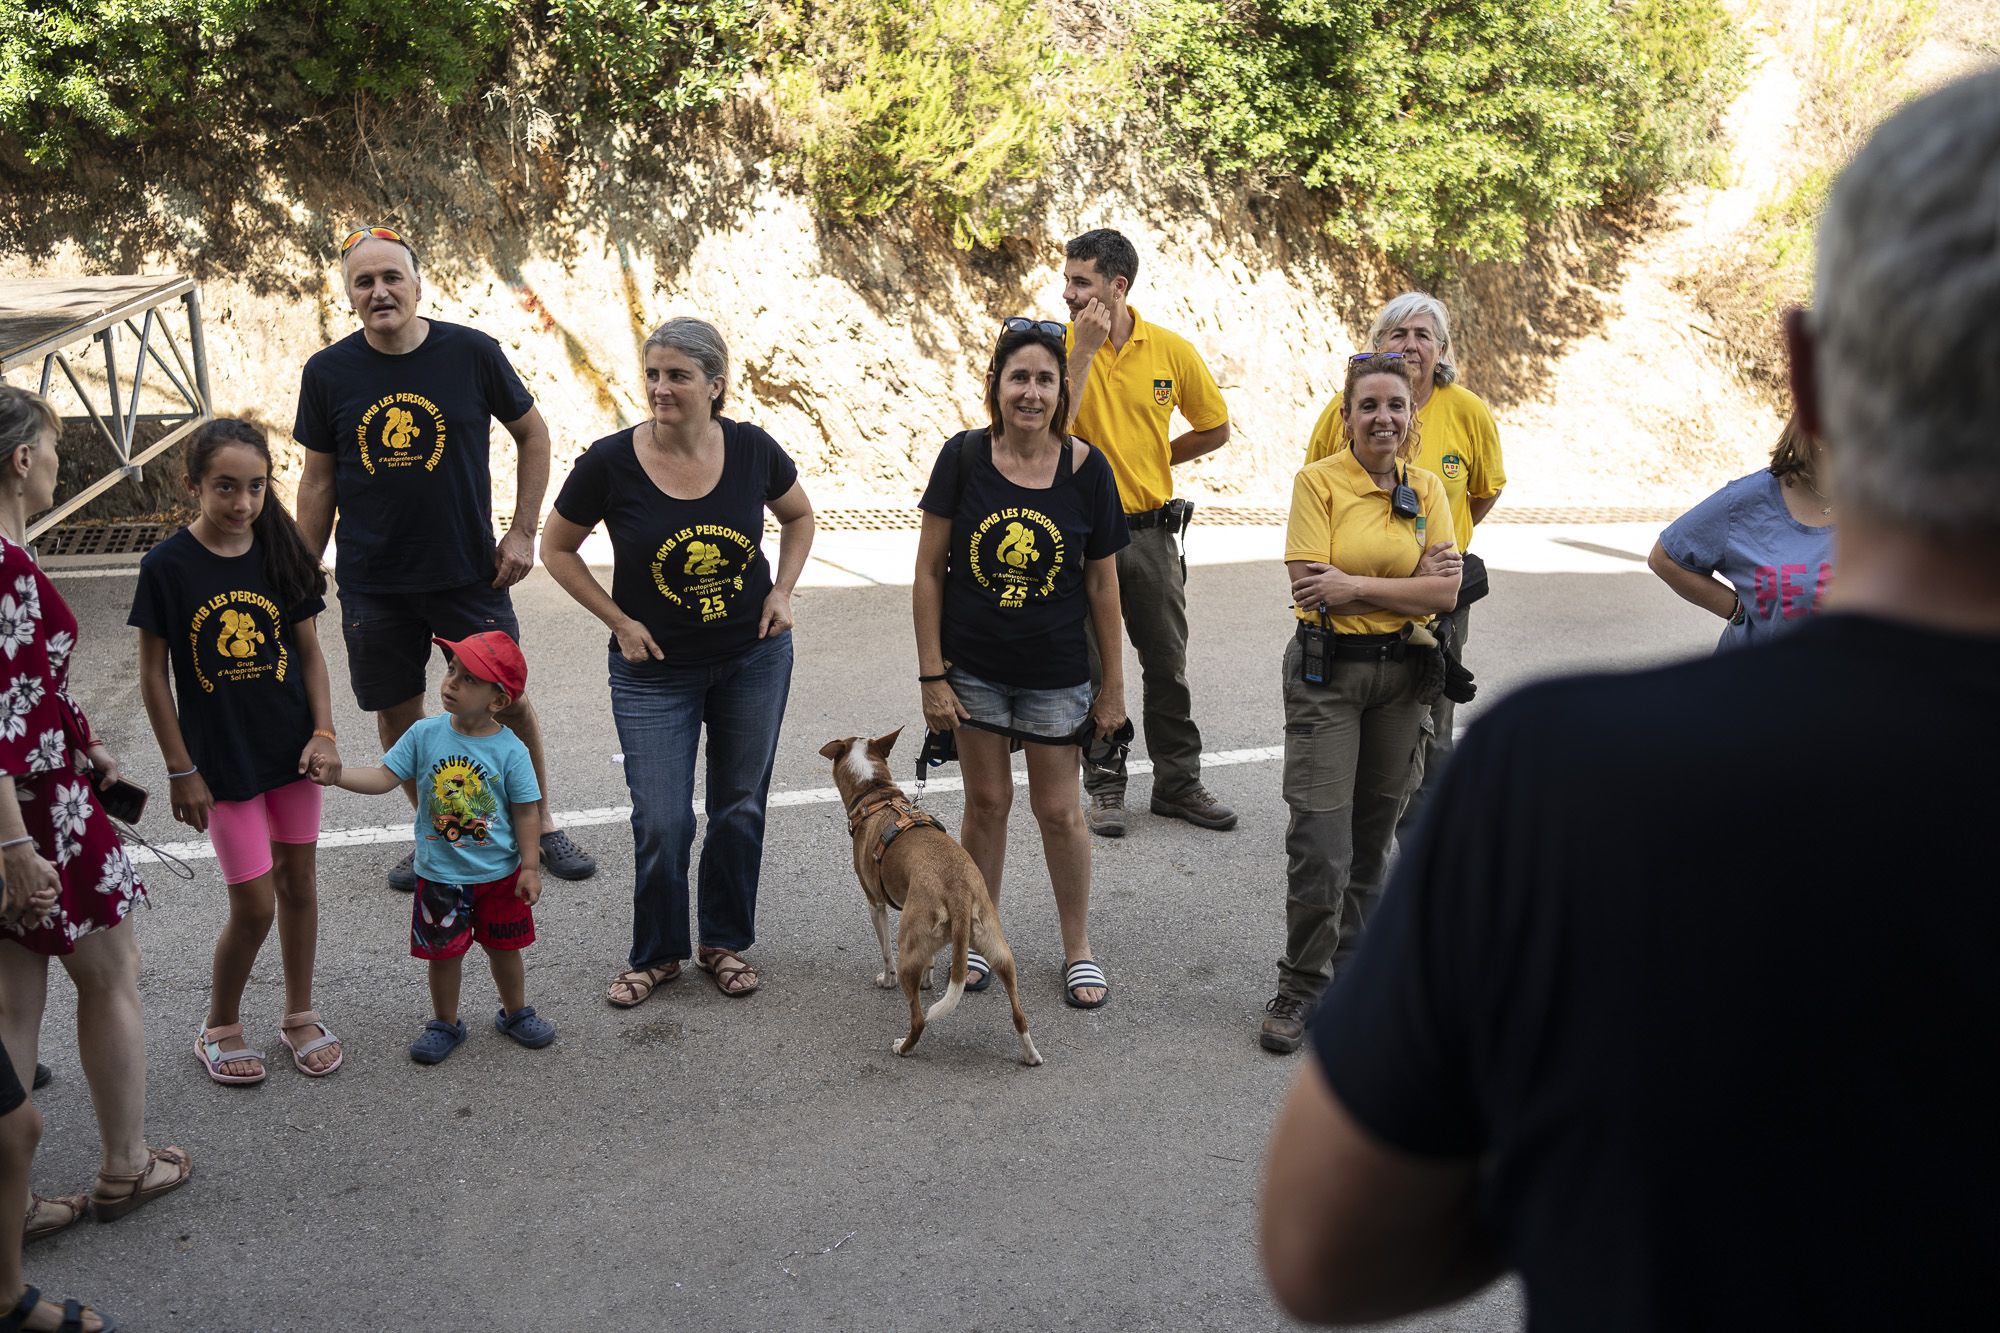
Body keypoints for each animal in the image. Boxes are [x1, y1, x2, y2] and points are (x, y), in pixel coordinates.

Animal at [820, 728, 1048, 1056]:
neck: (876, 794)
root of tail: (960, 892)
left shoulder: (875, 904)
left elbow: (884, 951)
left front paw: (885, 980)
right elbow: (930, 959)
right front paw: (928, 979)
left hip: (909, 948)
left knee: (918, 1019)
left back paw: (903, 1046)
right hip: (998, 949)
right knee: (1020, 1015)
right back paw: (1031, 1055)